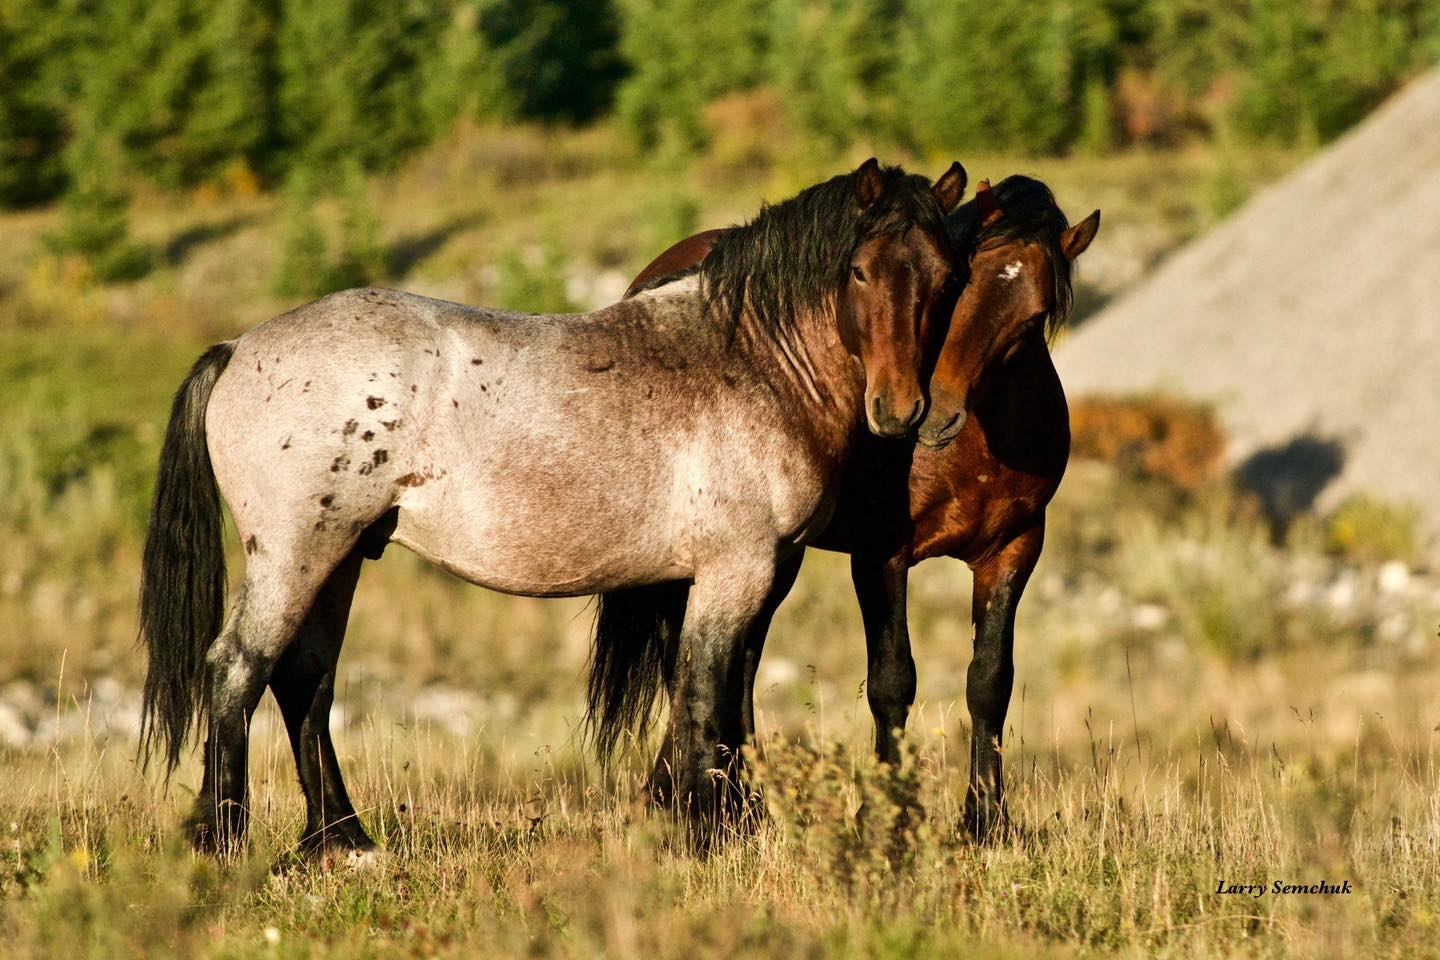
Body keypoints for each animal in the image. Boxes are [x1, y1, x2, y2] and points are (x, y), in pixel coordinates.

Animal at [139, 158, 970, 856]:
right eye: (860, 271)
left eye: (947, 277)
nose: (902, 412)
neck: (750, 363)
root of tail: (239, 348)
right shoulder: (735, 572)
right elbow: (705, 698)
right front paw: (706, 837)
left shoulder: (765, 570)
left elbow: (723, 698)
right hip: (297, 552)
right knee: (236, 670)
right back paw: (223, 840)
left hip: (341, 555)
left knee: (304, 680)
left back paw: (342, 841)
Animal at [588, 176, 1100, 840]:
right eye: (960, 283)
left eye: (1034, 315)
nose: (932, 414)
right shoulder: (881, 554)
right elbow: (892, 681)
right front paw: (887, 817)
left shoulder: (1014, 551)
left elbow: (990, 681)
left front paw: (986, 819)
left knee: (739, 661)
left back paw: (734, 802)